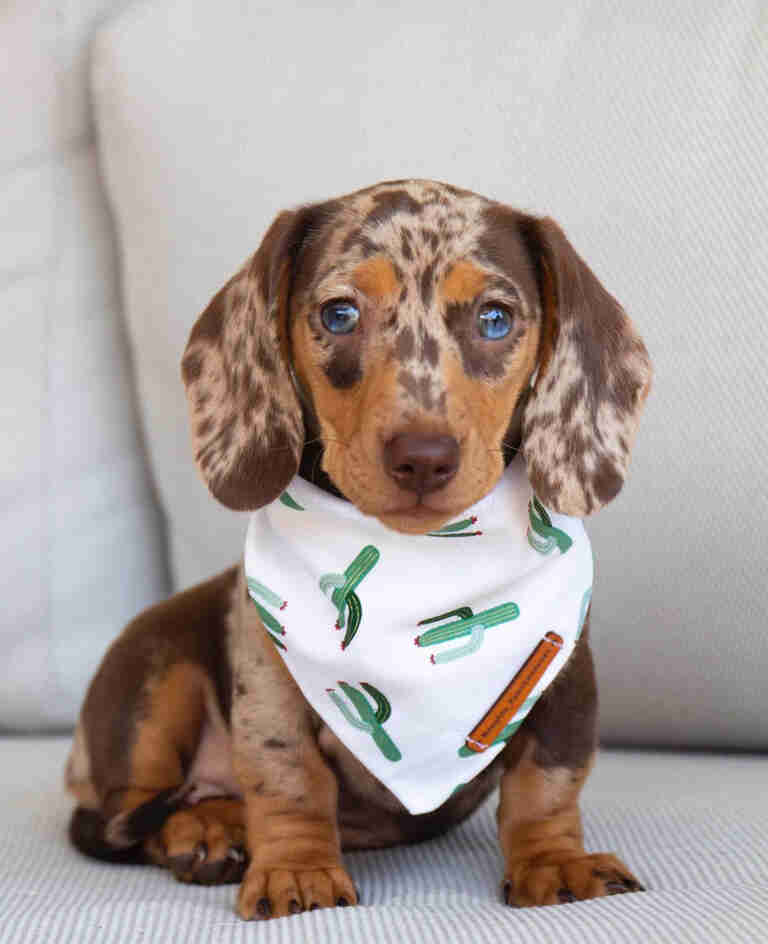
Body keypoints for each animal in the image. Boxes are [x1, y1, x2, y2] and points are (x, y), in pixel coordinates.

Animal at [67, 179, 656, 920]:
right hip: (153, 666)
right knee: (135, 808)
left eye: (495, 319)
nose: (423, 457)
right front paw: (296, 870)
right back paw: (204, 829)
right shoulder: (265, 674)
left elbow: (546, 782)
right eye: (340, 313)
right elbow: (286, 773)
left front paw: (555, 861)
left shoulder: (562, 670)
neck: (418, 560)